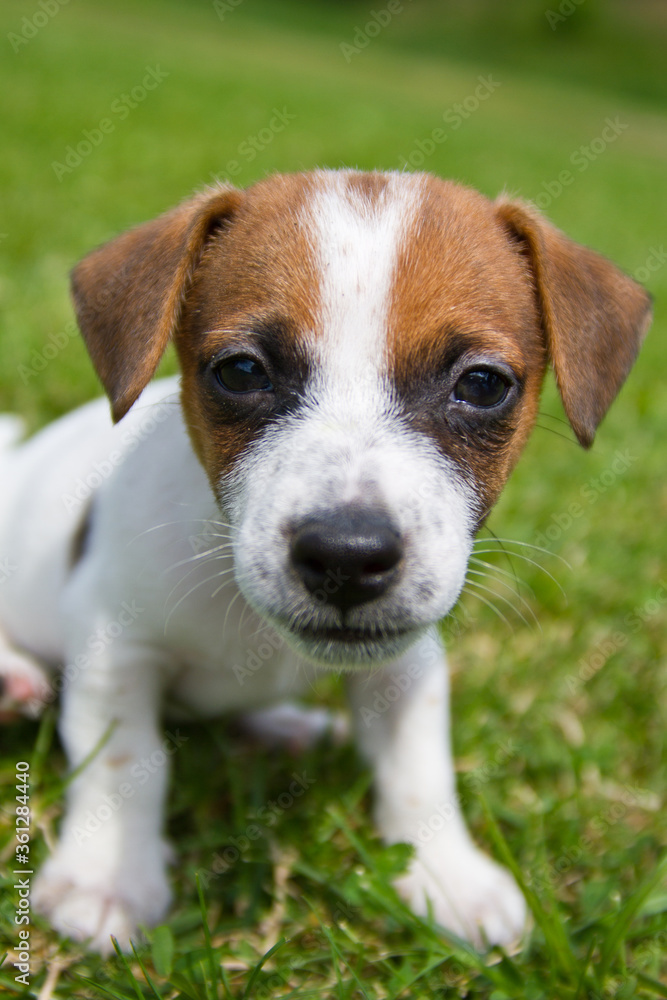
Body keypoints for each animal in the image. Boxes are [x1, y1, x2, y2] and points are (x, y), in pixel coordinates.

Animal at [0, 170, 648, 952]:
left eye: (483, 384)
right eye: (241, 371)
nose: (347, 556)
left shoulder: (406, 663)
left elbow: (418, 768)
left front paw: (447, 874)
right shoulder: (112, 642)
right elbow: (126, 764)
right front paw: (107, 880)